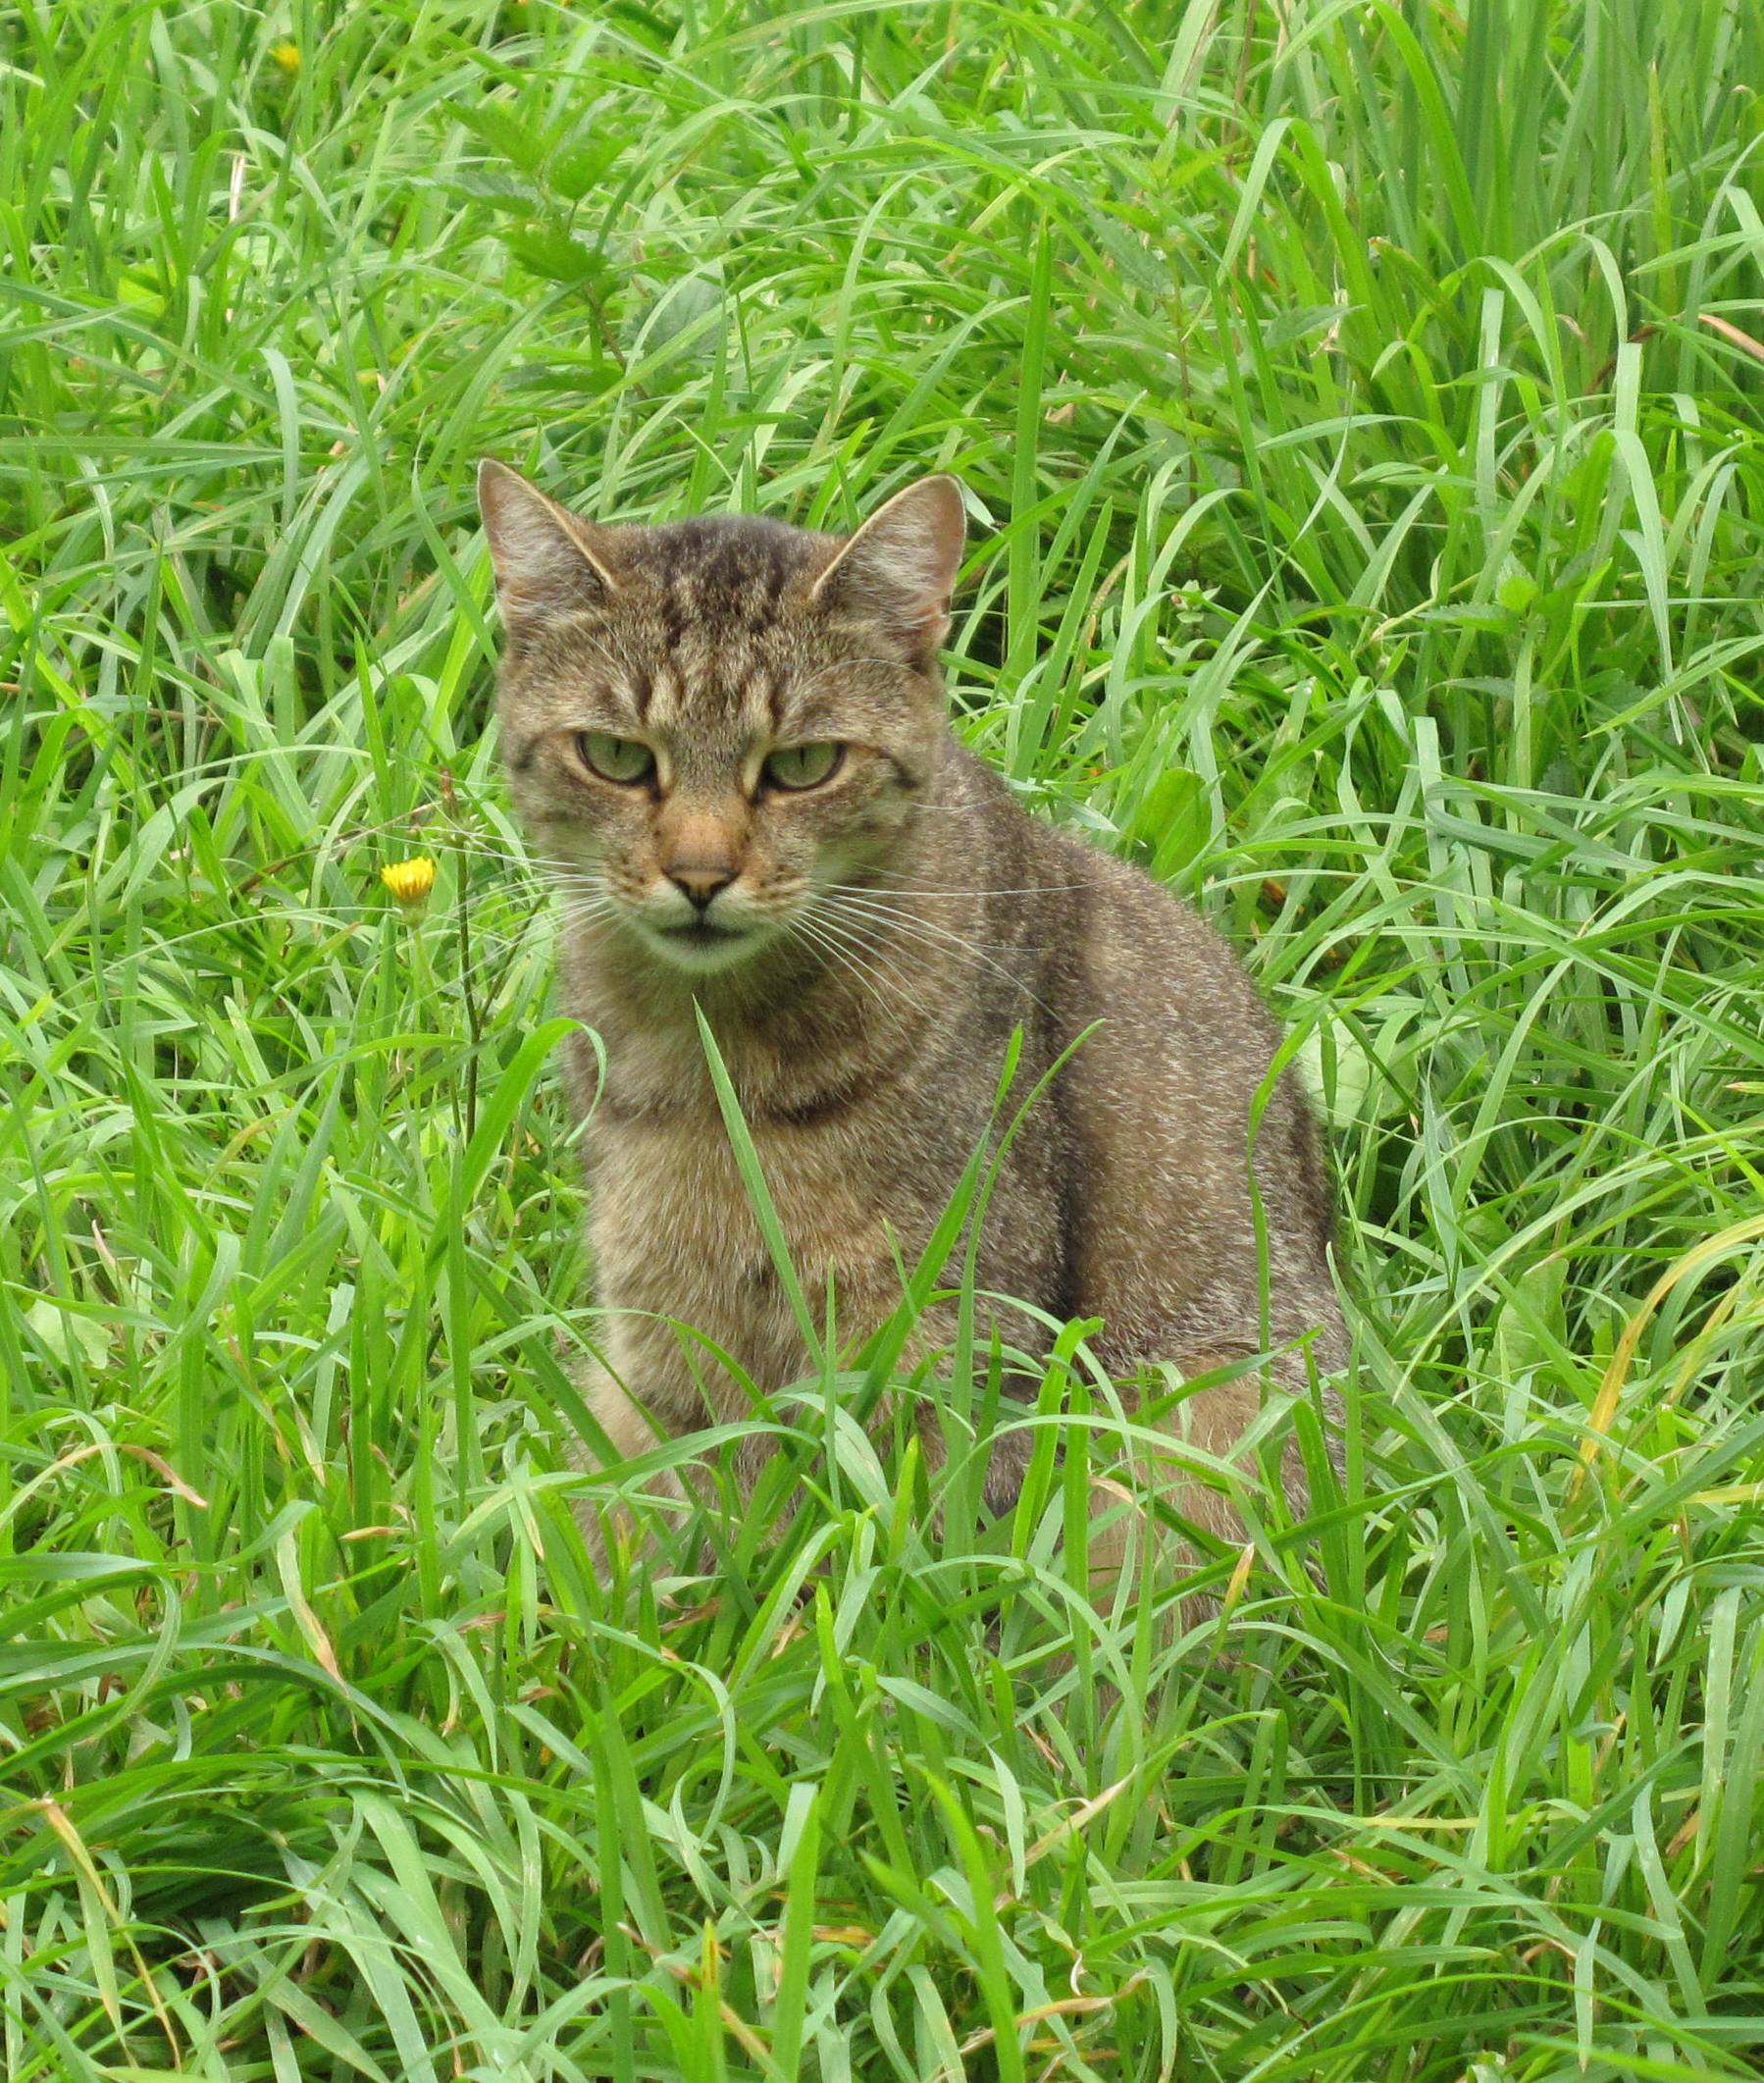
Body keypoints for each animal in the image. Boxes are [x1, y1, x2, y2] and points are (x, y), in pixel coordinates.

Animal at [477, 460, 1341, 1574]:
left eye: (802, 764)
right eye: (616, 757)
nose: (700, 876)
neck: (709, 1053)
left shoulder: (951, 1336)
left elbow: (894, 1549)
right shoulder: (663, 1336)